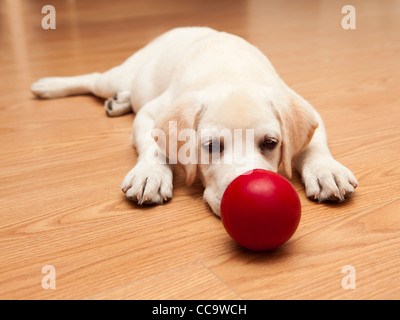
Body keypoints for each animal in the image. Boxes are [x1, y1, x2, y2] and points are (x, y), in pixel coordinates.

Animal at [30, 26, 356, 215]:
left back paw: (119, 101)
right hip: (121, 75)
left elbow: (314, 145)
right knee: (94, 79)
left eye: (271, 143)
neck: (230, 73)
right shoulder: (152, 113)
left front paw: (327, 171)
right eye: (211, 146)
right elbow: (153, 145)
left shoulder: (306, 107)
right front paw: (149, 174)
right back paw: (48, 86)